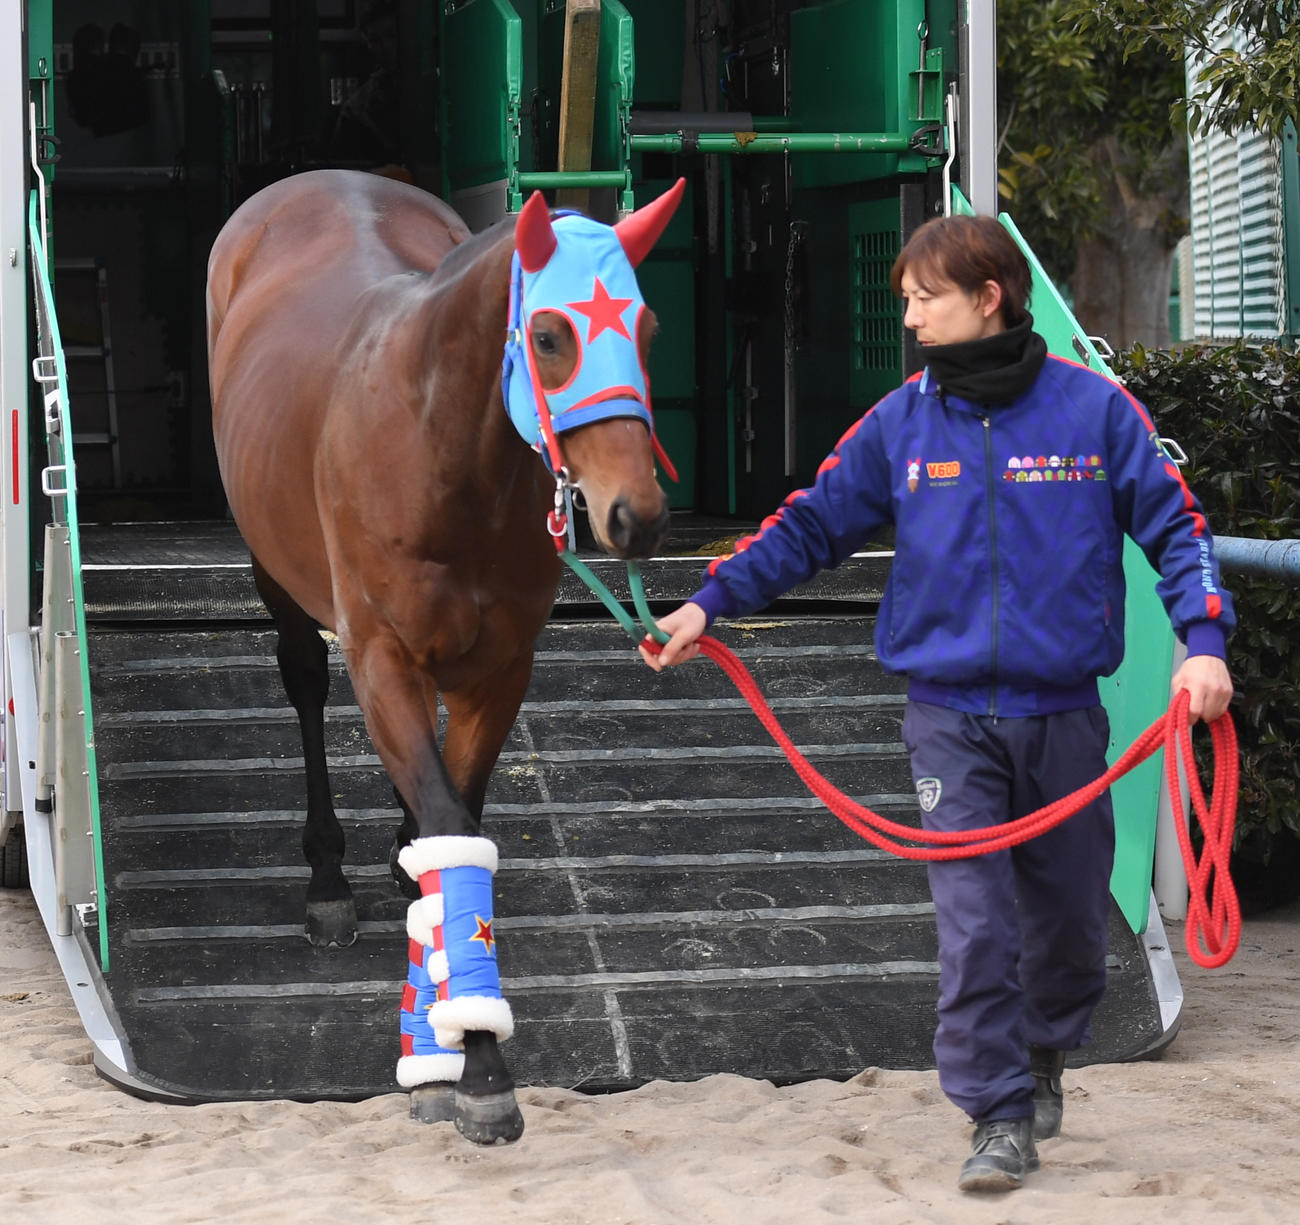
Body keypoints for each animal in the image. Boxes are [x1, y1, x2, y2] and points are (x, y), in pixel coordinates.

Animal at [206, 168, 682, 1143]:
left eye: (648, 329)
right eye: (550, 333)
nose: (638, 516)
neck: (441, 453)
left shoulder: (499, 671)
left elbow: (452, 823)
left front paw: (447, 1046)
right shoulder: (381, 658)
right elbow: (449, 828)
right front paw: (471, 1067)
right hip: (278, 574)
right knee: (303, 682)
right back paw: (329, 877)